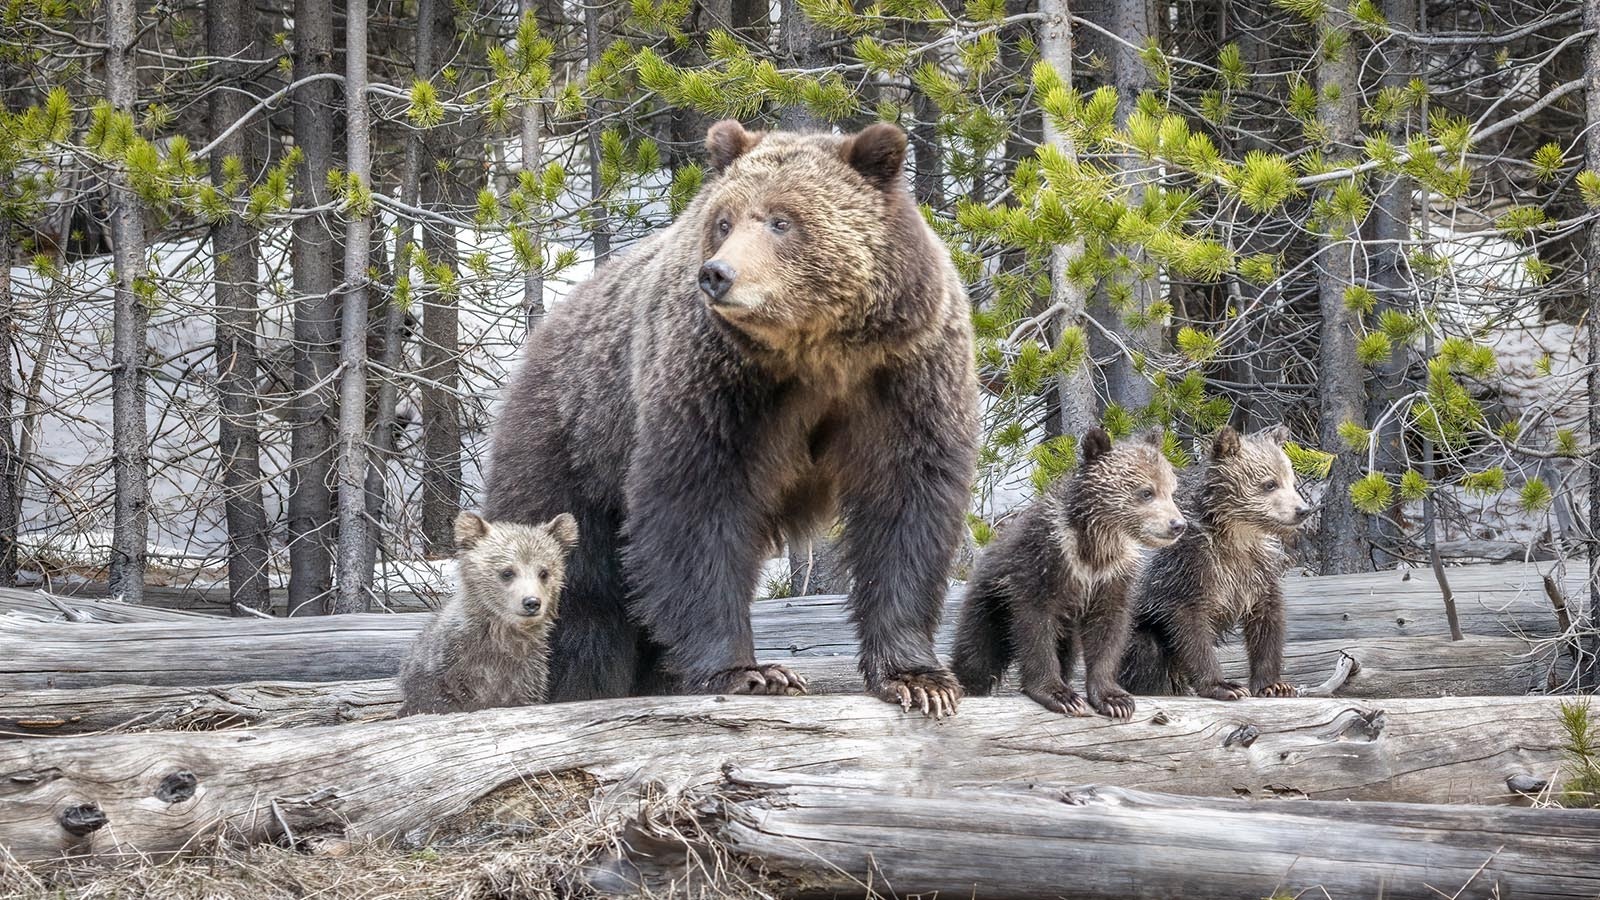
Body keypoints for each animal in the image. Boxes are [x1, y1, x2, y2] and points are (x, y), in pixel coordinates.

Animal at [480, 122, 972, 717]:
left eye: (782, 219)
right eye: (723, 221)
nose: (717, 274)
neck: (816, 351)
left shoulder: (903, 379)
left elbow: (906, 511)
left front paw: (919, 679)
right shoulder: (718, 387)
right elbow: (698, 510)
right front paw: (752, 672)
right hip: (572, 451)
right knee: (579, 590)